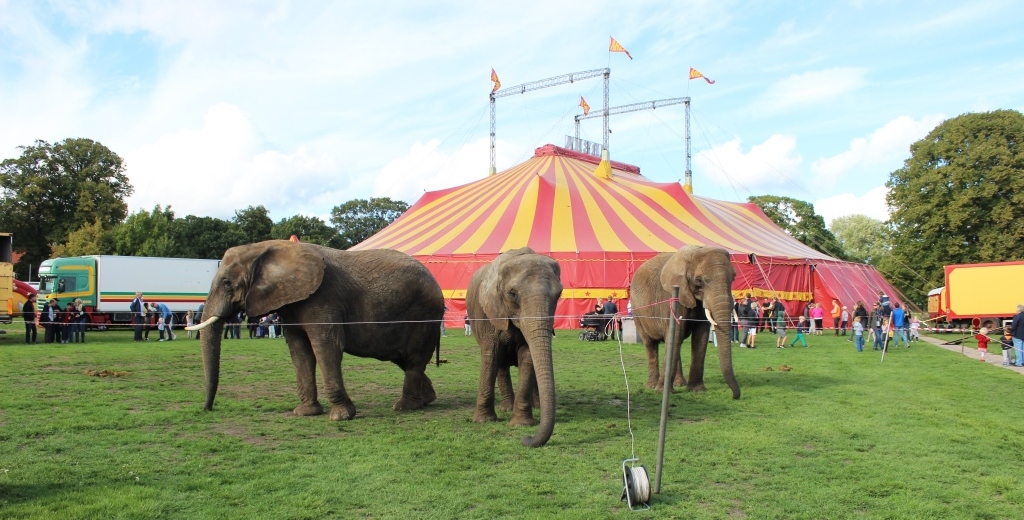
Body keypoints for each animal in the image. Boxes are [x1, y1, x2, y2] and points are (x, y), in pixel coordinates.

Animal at [188, 241, 444, 419]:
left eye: (227, 284)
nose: (207, 409)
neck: (265, 248)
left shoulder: (322, 299)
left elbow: (326, 348)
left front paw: (341, 416)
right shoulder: (290, 305)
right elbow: (300, 352)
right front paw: (305, 413)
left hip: (423, 314)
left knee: (413, 359)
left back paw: (405, 407)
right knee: (404, 359)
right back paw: (427, 399)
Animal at [468, 247, 565, 446]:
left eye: (559, 294)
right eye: (513, 294)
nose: (526, 439)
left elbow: (528, 356)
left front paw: (522, 424)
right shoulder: (487, 313)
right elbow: (491, 355)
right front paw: (483, 421)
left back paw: (536, 407)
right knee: (500, 365)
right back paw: (506, 408)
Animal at [626, 243, 741, 397]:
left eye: (733, 278)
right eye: (699, 280)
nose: (735, 396)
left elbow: (701, 336)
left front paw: (697, 390)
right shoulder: (671, 296)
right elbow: (675, 332)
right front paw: (661, 391)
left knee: (676, 342)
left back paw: (679, 384)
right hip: (637, 311)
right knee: (651, 343)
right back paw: (652, 386)